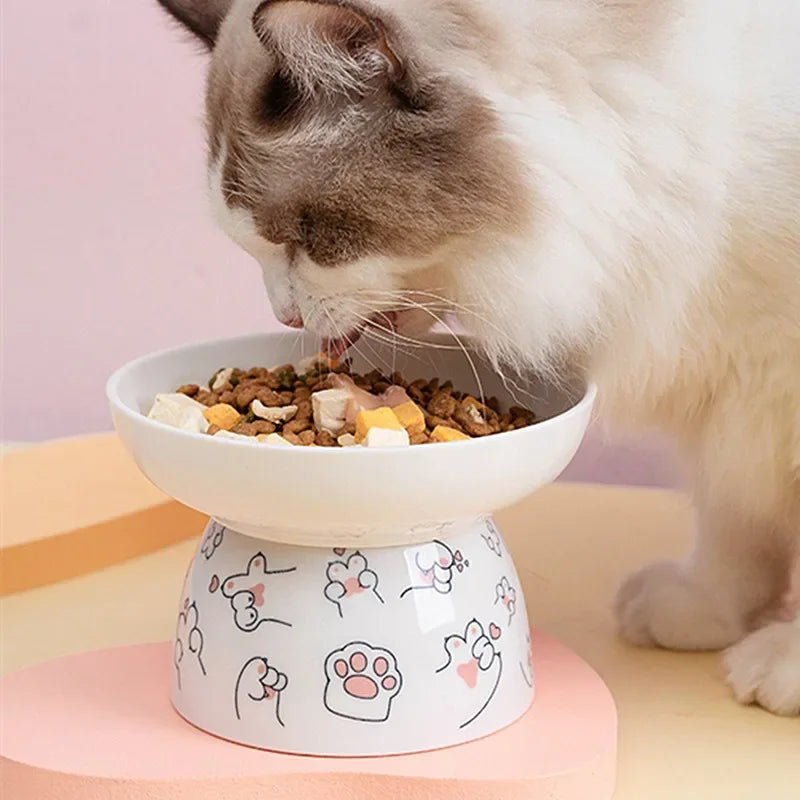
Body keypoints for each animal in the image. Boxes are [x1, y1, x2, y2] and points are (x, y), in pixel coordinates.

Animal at [156, 0, 800, 712]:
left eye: (307, 236)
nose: (284, 315)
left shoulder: (773, 386)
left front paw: (782, 666)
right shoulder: (737, 402)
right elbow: (735, 528)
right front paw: (706, 612)